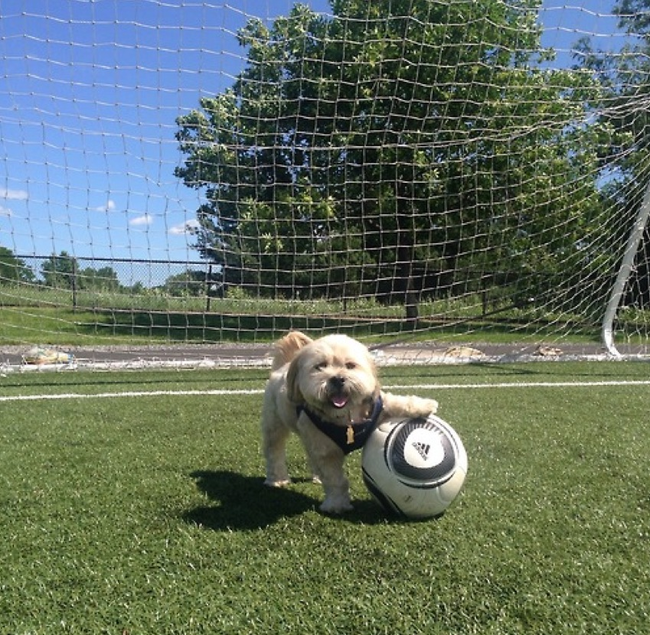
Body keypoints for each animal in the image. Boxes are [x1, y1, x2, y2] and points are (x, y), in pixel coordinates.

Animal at [258, 330, 436, 516]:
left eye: (350, 365)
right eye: (320, 366)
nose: (337, 378)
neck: (346, 417)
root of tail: (283, 367)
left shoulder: (376, 409)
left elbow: (395, 402)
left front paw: (422, 406)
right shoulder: (326, 451)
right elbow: (335, 480)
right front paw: (336, 504)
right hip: (274, 425)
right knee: (274, 451)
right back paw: (277, 479)